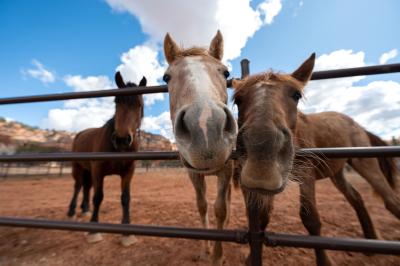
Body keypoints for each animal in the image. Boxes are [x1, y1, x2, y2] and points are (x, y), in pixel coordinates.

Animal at [67, 71, 147, 246]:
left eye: (139, 104)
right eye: (116, 102)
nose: (122, 139)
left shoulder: (128, 172)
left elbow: (125, 198)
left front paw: (127, 232)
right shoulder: (98, 171)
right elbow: (98, 197)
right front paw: (94, 230)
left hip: (87, 170)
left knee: (86, 187)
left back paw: (84, 209)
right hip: (77, 167)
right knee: (78, 186)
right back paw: (72, 211)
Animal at [162, 30, 238, 264]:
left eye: (225, 72)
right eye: (166, 77)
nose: (205, 125)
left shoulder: (227, 170)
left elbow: (220, 209)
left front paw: (217, 256)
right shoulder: (193, 174)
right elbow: (202, 205)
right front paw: (206, 249)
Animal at [233, 53, 398, 264]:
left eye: (296, 95)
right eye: (238, 99)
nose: (262, 157)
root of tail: (357, 124)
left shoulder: (307, 174)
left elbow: (310, 218)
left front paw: (324, 262)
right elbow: (261, 219)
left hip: (366, 164)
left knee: (391, 200)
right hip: (337, 173)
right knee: (356, 198)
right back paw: (370, 243)